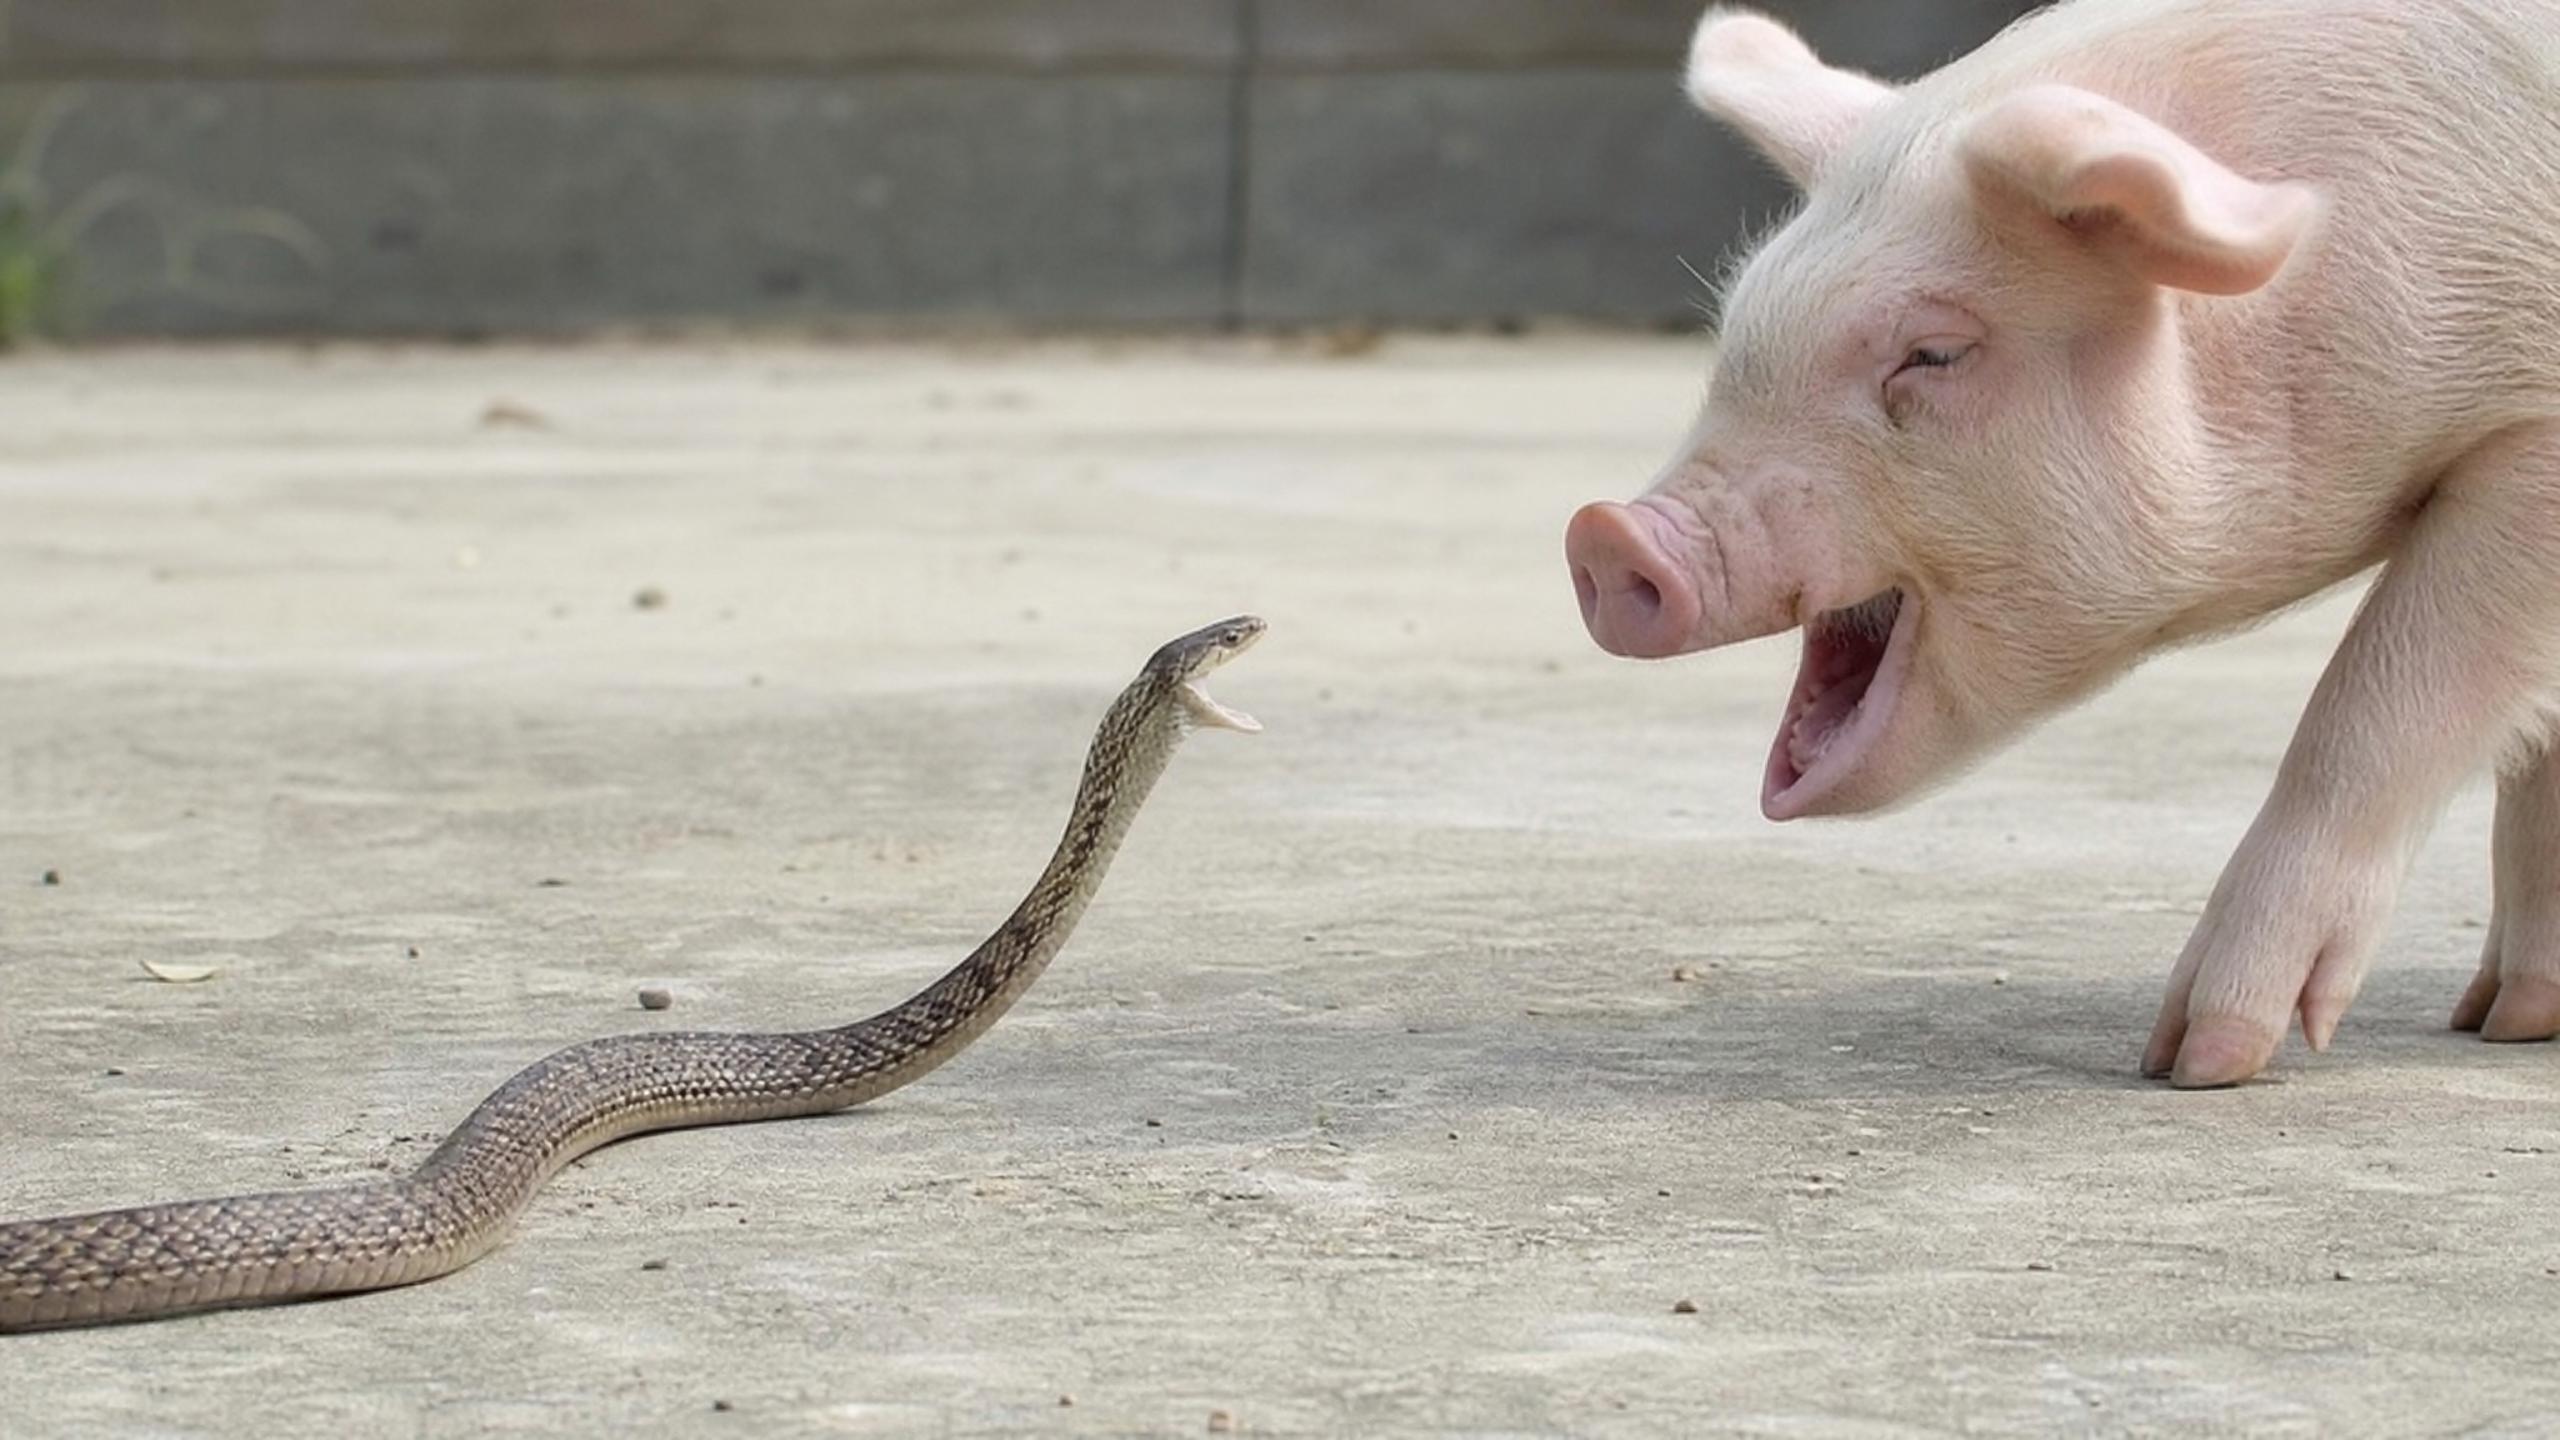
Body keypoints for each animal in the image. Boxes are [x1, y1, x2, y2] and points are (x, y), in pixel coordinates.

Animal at [1564, 0, 2560, 1086]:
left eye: (1934, 353)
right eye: (1739, 331)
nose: (1607, 535)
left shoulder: (2532, 446)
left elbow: (2376, 700)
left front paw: (2194, 1060)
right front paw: (2509, 1019)